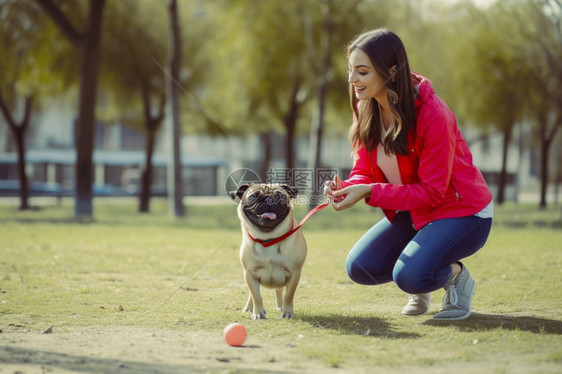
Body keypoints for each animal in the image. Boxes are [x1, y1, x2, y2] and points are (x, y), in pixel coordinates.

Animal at [229, 183, 306, 320]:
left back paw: (281, 307)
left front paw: (287, 312)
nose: (269, 199)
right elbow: (256, 296)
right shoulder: (249, 273)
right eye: (253, 197)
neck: (268, 239)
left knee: (279, 291)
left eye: (280, 196)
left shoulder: (295, 273)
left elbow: (289, 295)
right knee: (252, 294)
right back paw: (249, 308)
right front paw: (258, 313)